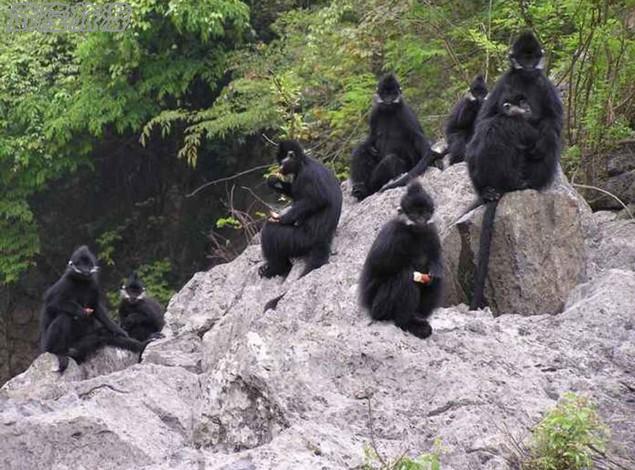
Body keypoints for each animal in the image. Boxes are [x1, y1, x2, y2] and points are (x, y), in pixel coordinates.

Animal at [39, 244, 148, 372]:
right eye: (81, 264)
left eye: (88, 265)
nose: (86, 270)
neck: (81, 282)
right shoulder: (65, 283)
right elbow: (52, 304)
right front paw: (80, 311)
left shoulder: (93, 284)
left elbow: (96, 308)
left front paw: (118, 330)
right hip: (47, 344)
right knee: (64, 317)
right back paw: (58, 352)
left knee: (103, 334)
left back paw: (142, 345)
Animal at [258, 140, 342, 280]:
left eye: (281, 163)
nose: (280, 169)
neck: (303, 163)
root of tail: (323, 239)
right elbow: (295, 194)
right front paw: (274, 181)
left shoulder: (307, 175)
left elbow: (317, 200)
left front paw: (282, 219)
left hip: (299, 240)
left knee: (269, 231)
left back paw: (276, 268)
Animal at [360, 182, 444, 340]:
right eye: (415, 214)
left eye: (424, 213)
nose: (420, 220)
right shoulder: (393, 233)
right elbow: (379, 264)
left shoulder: (431, 230)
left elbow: (436, 258)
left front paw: (435, 269)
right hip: (379, 307)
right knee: (405, 276)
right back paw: (407, 323)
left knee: (438, 279)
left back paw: (419, 316)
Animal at [464, 32, 564, 308]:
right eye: (523, 57)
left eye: (532, 56)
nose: (529, 65)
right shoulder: (503, 84)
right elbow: (484, 120)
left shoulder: (544, 84)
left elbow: (554, 123)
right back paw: (488, 191)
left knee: (549, 139)